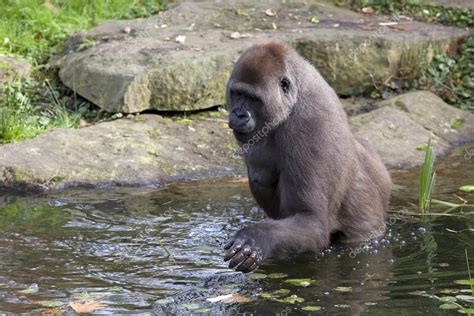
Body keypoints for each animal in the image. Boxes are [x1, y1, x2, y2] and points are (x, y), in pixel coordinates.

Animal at [224, 42, 390, 274]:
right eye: (237, 94)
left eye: (253, 99)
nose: (238, 114)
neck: (296, 94)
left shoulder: (308, 127)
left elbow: (311, 222)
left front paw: (256, 238)